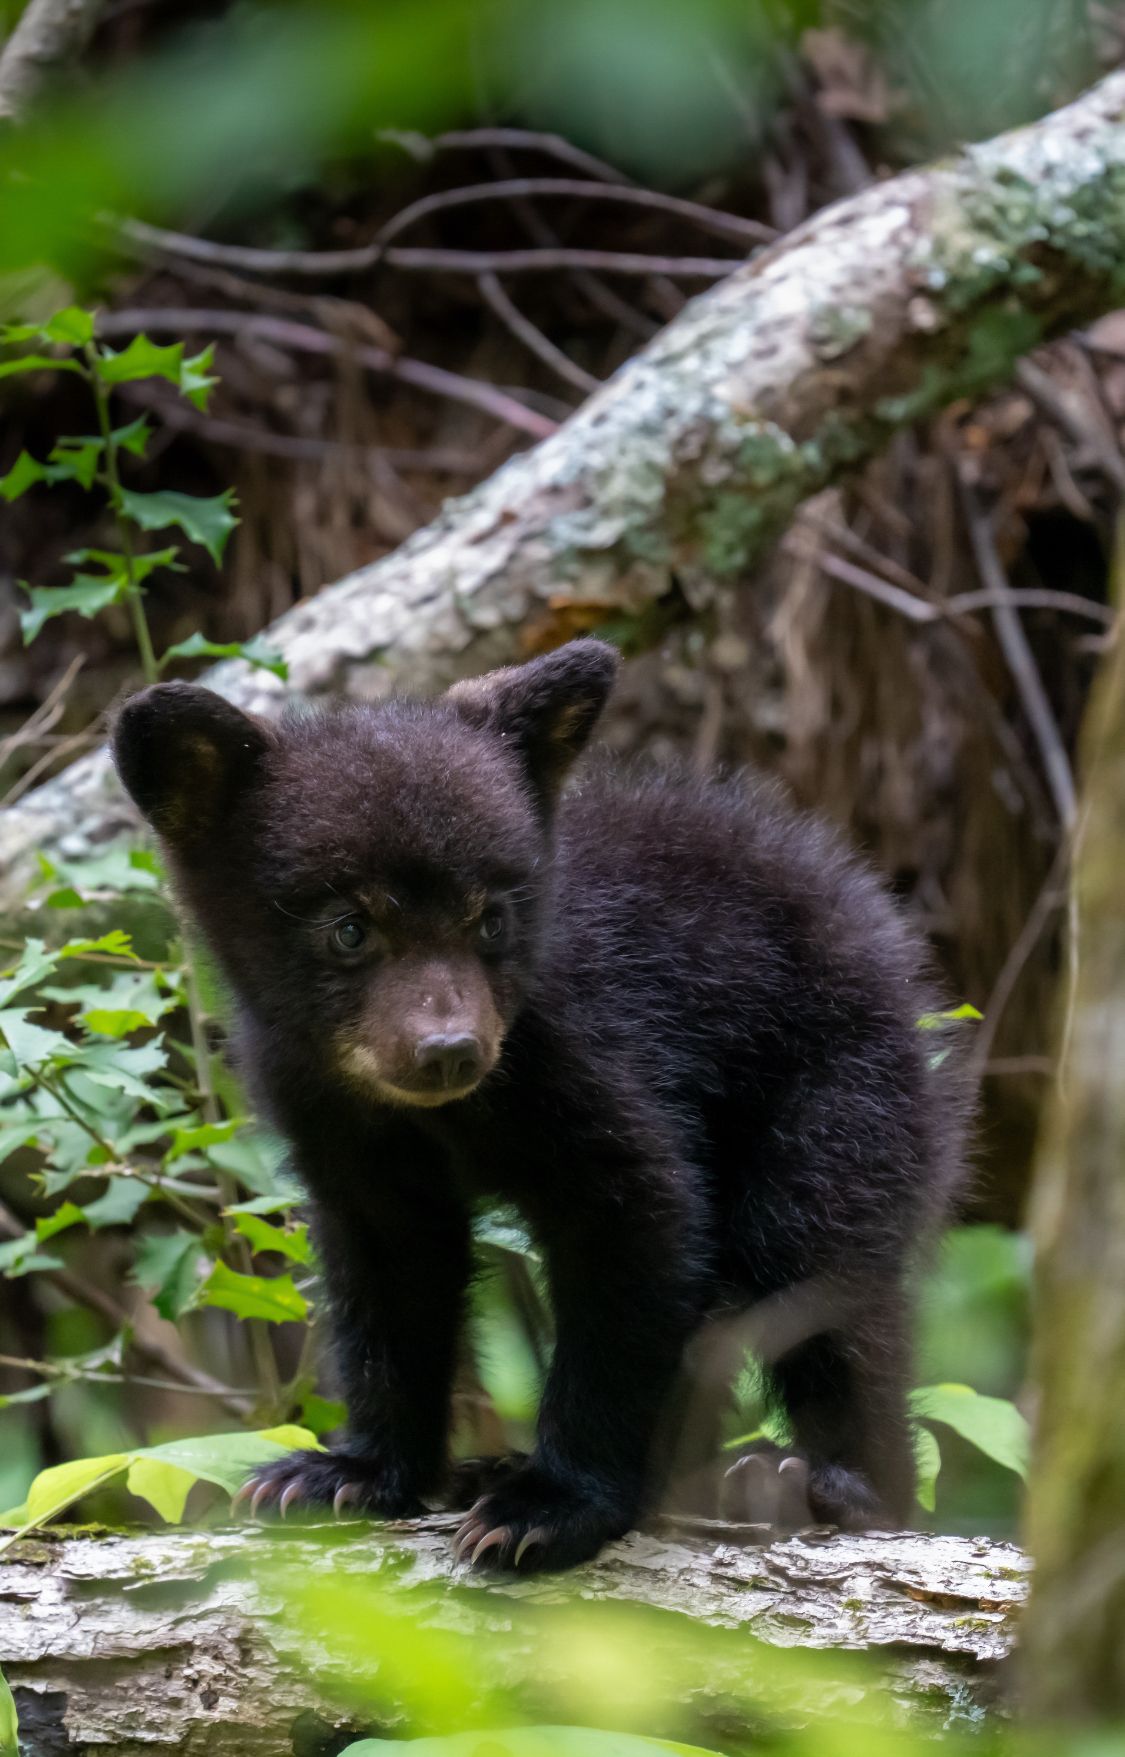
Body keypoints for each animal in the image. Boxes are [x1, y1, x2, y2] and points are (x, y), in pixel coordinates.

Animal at [112, 637, 967, 1572]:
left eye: (489, 917)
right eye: (350, 926)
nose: (448, 1048)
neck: (446, 1111)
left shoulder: (588, 1056)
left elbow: (639, 1235)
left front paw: (548, 1507)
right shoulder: (331, 1116)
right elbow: (392, 1274)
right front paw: (346, 1472)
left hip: (839, 1095)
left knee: (823, 1276)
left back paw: (824, 1485)